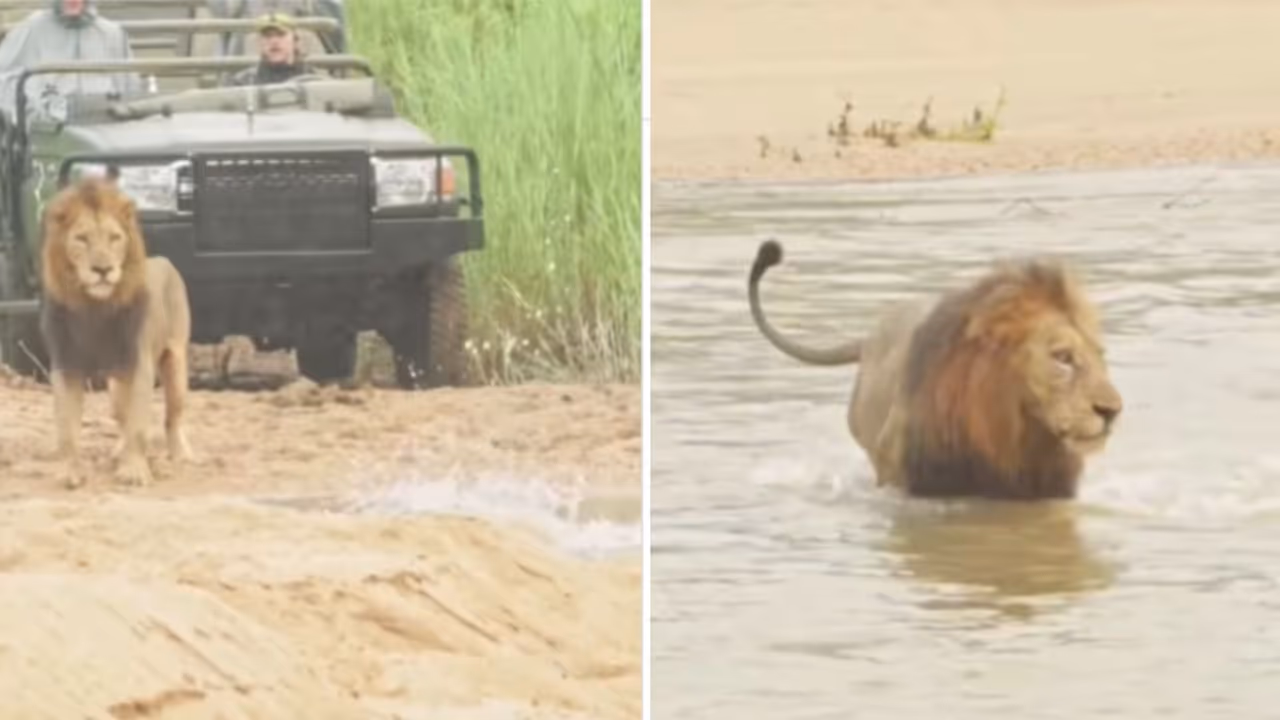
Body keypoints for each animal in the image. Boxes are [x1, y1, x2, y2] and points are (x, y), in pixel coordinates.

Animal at [38, 177, 193, 489]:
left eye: (114, 238)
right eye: (81, 239)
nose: (103, 269)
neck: (94, 307)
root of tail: (165, 261)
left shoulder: (139, 364)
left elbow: (138, 425)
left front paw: (134, 471)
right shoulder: (66, 366)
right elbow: (67, 429)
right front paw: (70, 472)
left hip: (175, 363)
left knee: (173, 416)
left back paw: (180, 455)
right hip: (115, 386)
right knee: (121, 415)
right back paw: (118, 452)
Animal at [747, 239, 1123, 500]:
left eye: (1100, 355)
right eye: (1063, 357)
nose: (1112, 411)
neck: (1008, 430)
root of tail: (868, 339)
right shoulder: (904, 478)